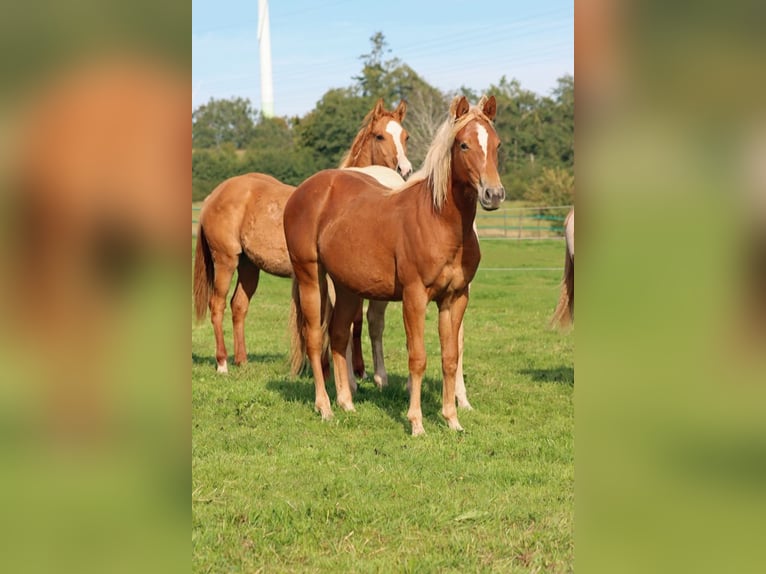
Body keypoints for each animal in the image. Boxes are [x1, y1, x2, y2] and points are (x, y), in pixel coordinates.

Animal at [193, 99, 412, 373]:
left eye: (406, 136)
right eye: (380, 135)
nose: (405, 170)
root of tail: (215, 194)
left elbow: (354, 319)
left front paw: (356, 369)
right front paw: (335, 367)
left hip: (249, 266)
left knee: (239, 305)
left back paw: (241, 360)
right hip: (226, 261)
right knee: (217, 305)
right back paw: (222, 363)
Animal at [284, 95, 505, 435]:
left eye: (496, 144)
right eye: (464, 145)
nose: (493, 194)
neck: (438, 220)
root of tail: (305, 190)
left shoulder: (455, 298)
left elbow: (450, 357)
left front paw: (452, 420)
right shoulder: (414, 297)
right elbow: (418, 358)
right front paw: (416, 423)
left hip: (348, 288)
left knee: (338, 335)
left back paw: (347, 403)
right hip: (312, 277)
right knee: (315, 338)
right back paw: (325, 408)